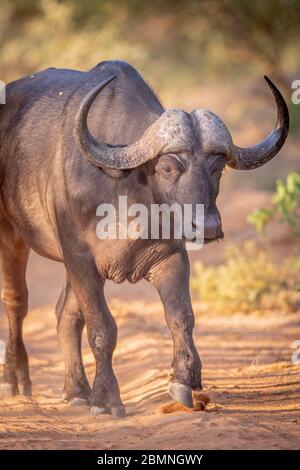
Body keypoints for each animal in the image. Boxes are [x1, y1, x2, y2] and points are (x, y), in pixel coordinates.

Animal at [0, 60, 290, 416]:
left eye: (218, 168)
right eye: (167, 167)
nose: (207, 226)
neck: (127, 190)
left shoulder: (170, 257)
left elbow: (181, 317)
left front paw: (184, 382)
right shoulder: (79, 257)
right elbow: (103, 328)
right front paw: (107, 399)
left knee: (64, 315)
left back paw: (77, 391)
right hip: (11, 232)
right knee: (16, 301)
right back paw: (16, 381)